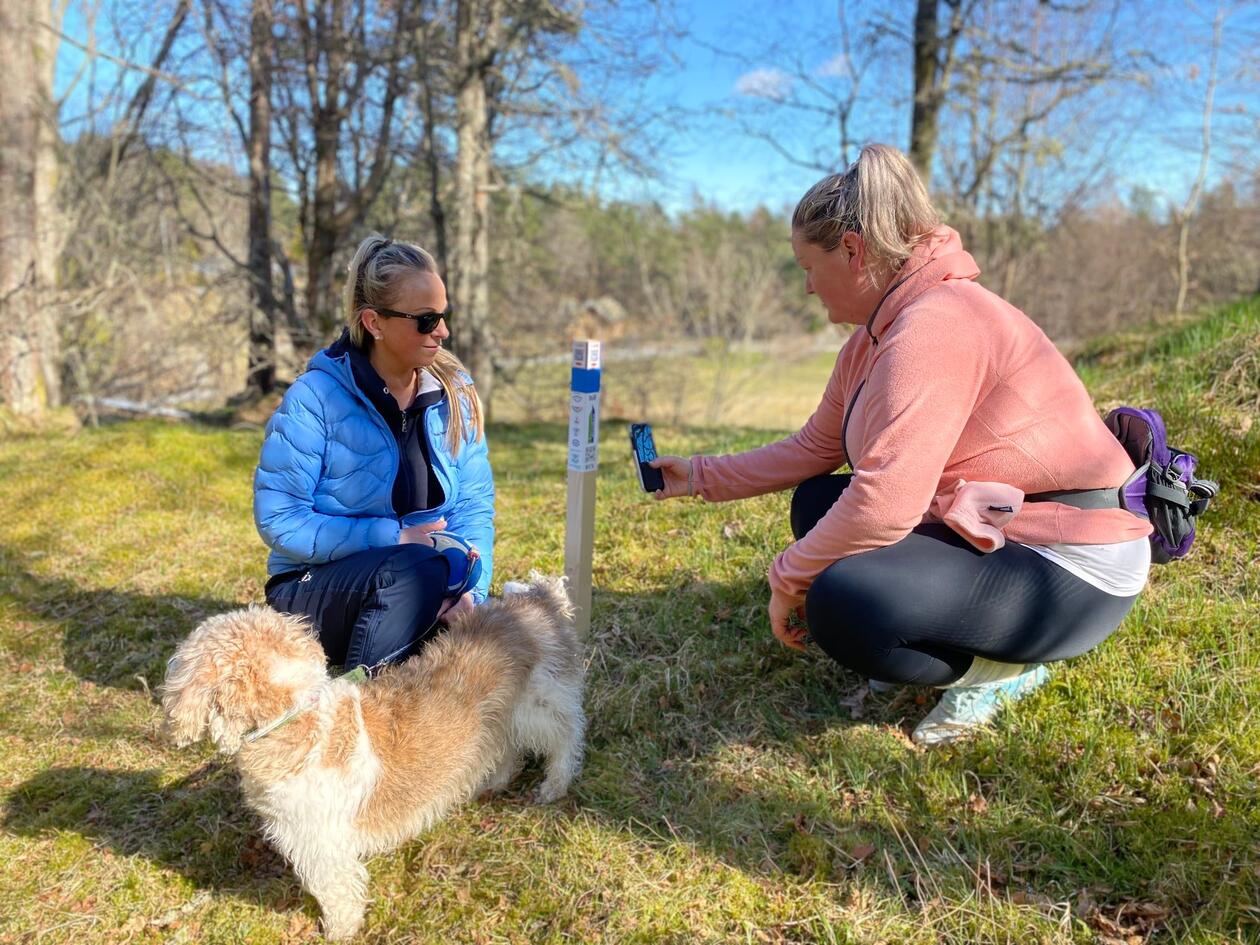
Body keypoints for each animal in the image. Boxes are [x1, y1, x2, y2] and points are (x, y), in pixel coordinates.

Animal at [160, 575, 585, 940]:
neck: (297, 718)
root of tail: (536, 597)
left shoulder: (321, 849)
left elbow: (338, 895)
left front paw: (338, 933)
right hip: (501, 717)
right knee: (510, 750)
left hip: (537, 704)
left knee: (567, 735)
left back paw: (554, 786)